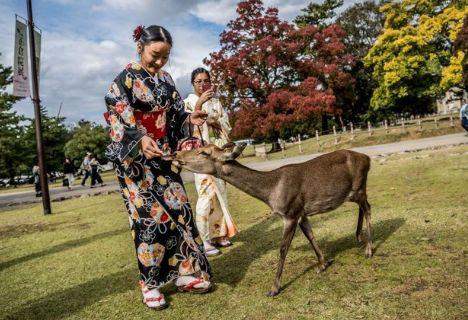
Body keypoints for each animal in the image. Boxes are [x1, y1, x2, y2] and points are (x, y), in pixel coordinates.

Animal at [166, 143, 372, 298]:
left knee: (368, 207)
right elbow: (311, 236)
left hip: (359, 186)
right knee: (363, 207)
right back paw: (358, 237)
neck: (271, 193)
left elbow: (282, 249)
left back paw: (368, 249)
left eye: (204, 152)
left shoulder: (290, 213)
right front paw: (323, 264)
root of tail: (368, 159)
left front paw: (274, 289)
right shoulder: (301, 213)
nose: (175, 153)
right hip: (353, 192)